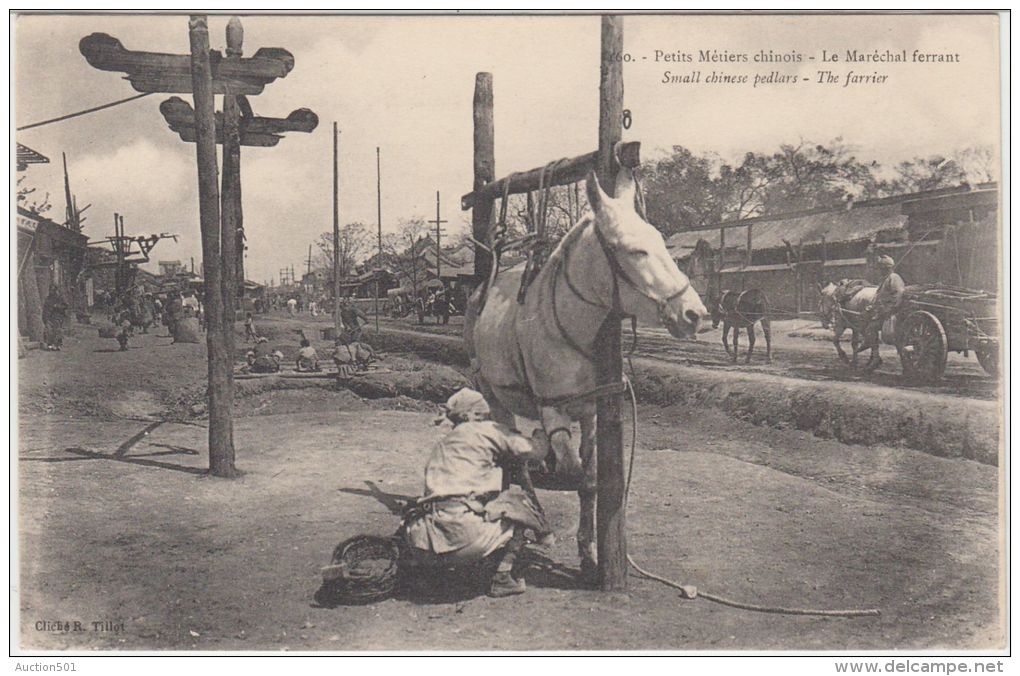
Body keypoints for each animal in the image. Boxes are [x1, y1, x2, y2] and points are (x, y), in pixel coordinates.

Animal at [465, 170, 709, 583]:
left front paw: (590, 552)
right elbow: (571, 473)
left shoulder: (592, 411)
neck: (570, 327)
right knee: (515, 461)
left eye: (661, 242)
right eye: (635, 251)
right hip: (492, 394)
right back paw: (534, 522)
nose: (695, 314)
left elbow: (591, 482)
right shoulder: (553, 412)